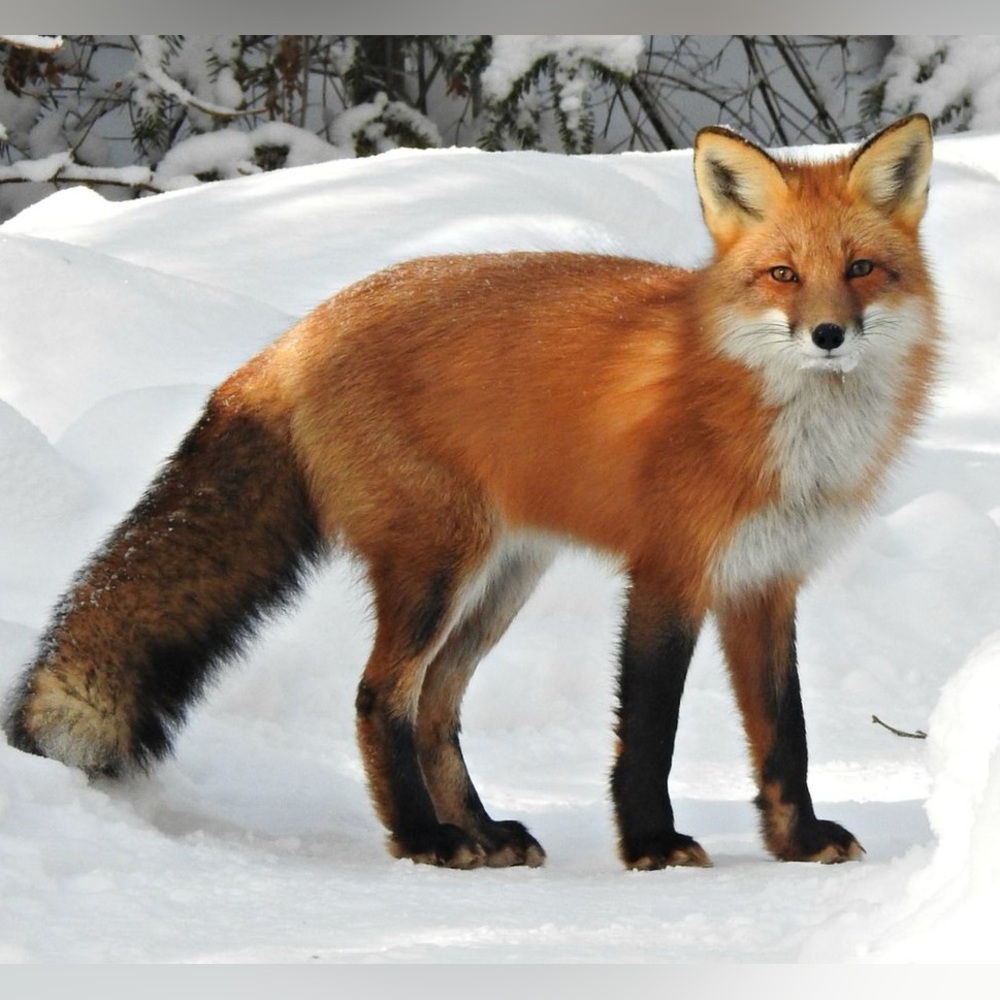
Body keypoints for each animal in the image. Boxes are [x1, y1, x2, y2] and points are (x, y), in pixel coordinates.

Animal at [3, 114, 938, 871]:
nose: (828, 335)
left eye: (861, 268)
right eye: (783, 274)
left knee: (435, 707)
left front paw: (797, 842)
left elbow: (787, 735)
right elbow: (650, 730)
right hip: (436, 568)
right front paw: (649, 845)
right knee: (381, 698)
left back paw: (482, 832)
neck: (781, 426)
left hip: (501, 579)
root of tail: (293, 338)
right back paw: (424, 839)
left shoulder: (764, 583)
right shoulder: (668, 574)